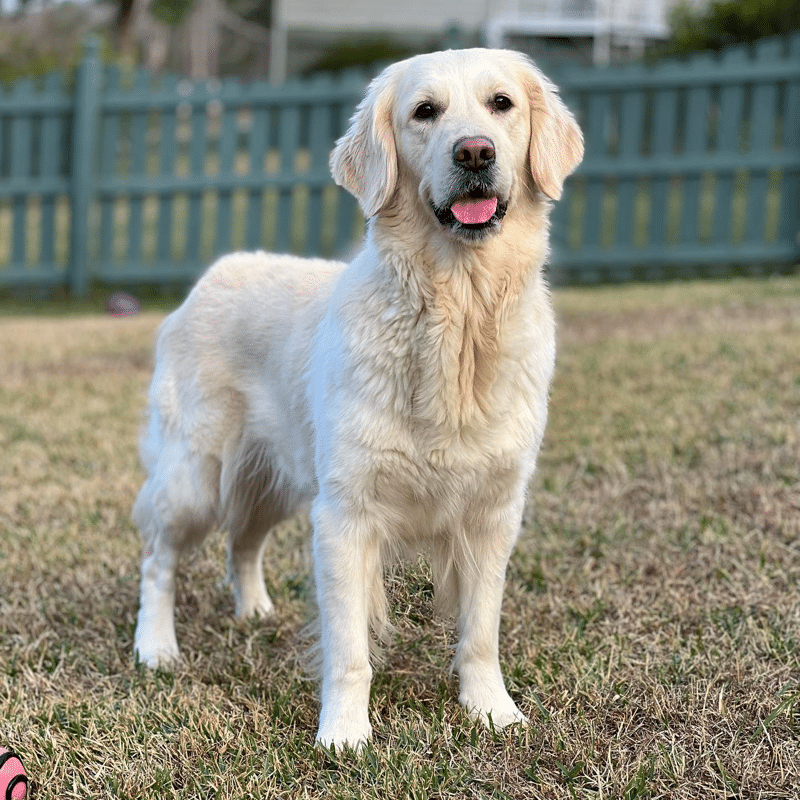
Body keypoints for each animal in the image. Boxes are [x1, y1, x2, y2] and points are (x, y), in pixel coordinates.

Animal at [131, 48, 580, 752]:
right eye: (425, 111)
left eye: (501, 104)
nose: (475, 152)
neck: (456, 315)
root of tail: (214, 272)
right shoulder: (345, 515)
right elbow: (349, 649)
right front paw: (344, 734)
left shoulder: (493, 513)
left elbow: (480, 631)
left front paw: (491, 710)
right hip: (195, 476)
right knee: (158, 558)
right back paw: (155, 647)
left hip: (277, 481)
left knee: (243, 542)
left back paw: (255, 611)